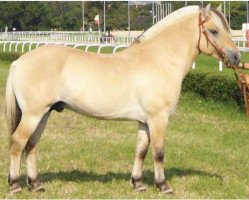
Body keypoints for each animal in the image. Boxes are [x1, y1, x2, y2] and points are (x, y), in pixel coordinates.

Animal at [5, 4, 239, 195]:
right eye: (214, 31)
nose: (236, 57)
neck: (158, 61)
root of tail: (18, 62)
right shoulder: (158, 119)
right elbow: (158, 153)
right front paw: (163, 186)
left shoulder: (145, 122)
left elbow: (141, 151)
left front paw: (138, 184)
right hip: (33, 115)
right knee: (17, 143)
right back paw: (15, 185)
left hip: (44, 114)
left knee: (31, 145)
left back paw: (36, 184)